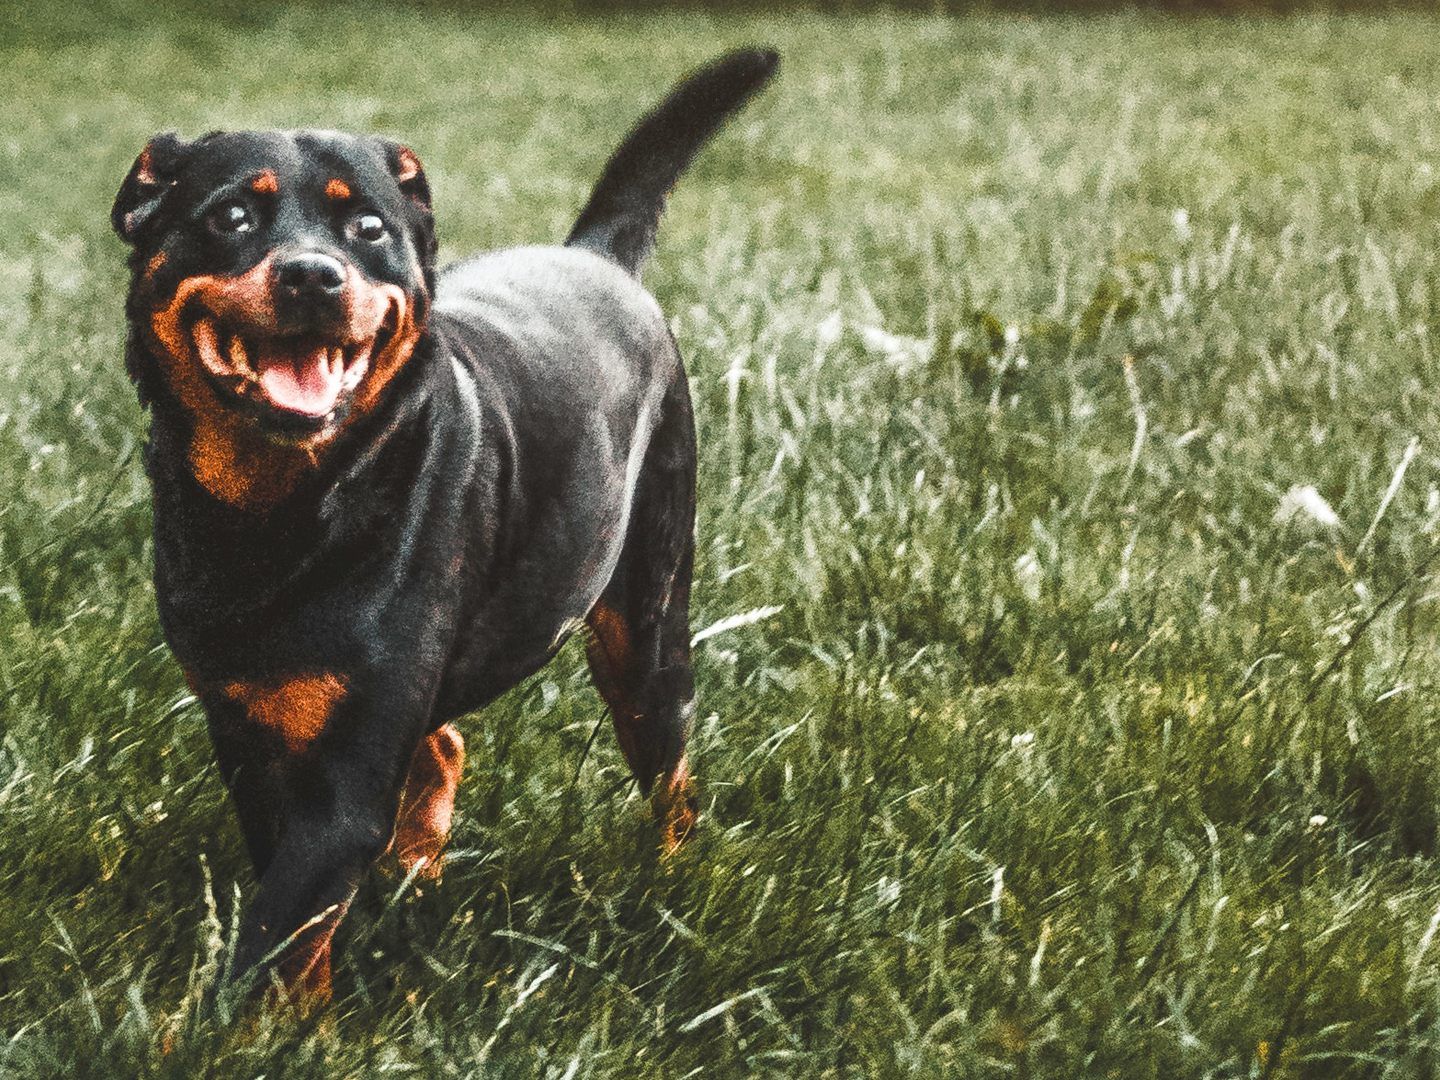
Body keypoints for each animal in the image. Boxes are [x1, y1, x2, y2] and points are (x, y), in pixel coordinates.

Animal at [108, 46, 783, 1013]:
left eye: (369, 229)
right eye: (231, 215)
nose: (312, 274)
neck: (283, 511)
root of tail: (594, 257)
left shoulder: (346, 782)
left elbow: (275, 940)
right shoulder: (250, 735)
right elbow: (294, 921)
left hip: (646, 620)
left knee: (671, 771)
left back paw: (669, 879)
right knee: (447, 741)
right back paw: (420, 865)